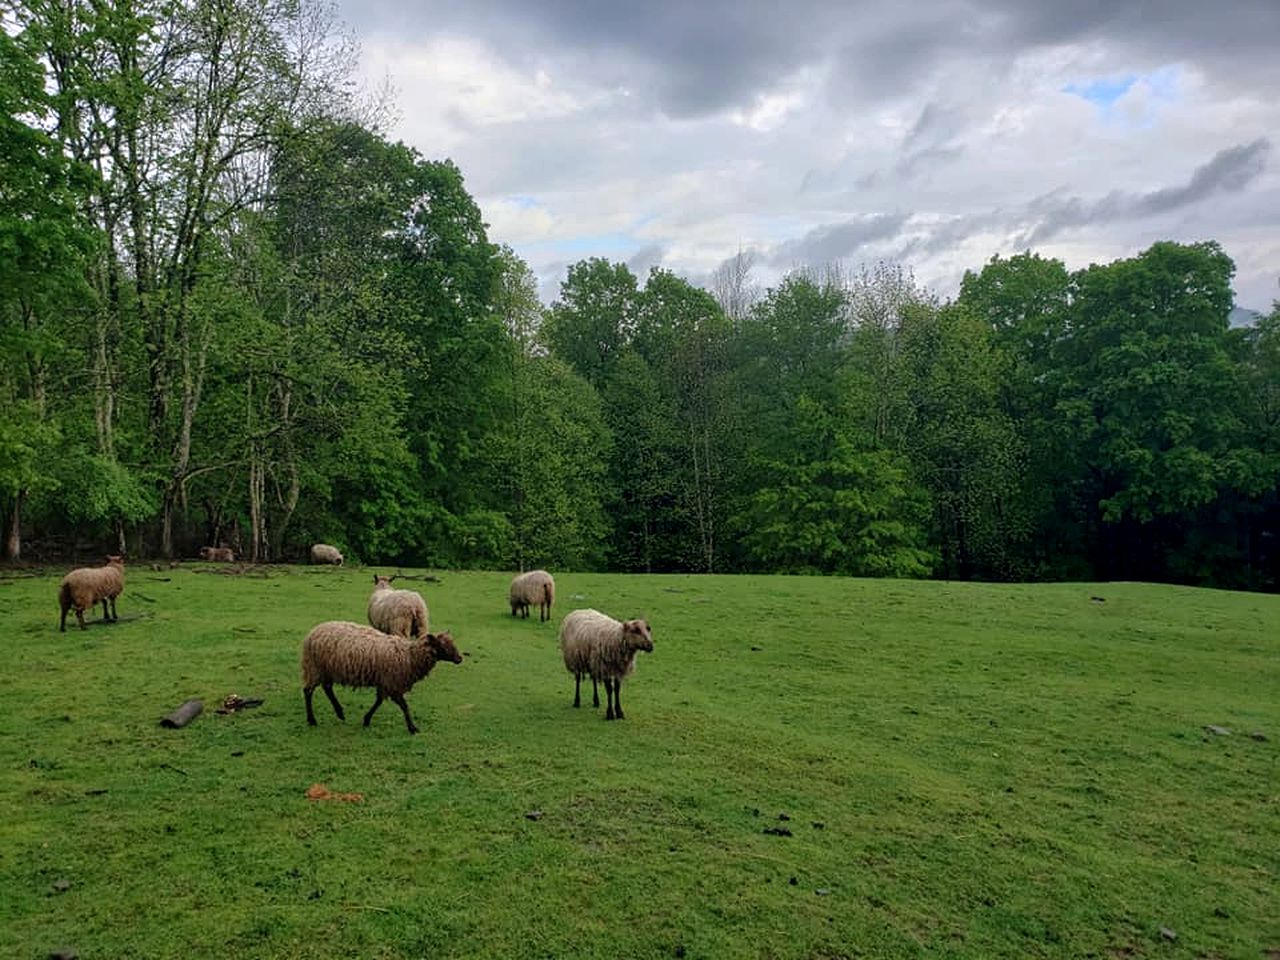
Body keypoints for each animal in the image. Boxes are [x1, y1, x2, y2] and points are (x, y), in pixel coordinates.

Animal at [302, 624, 463, 737]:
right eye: (443, 646)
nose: (460, 659)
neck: (410, 657)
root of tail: (312, 633)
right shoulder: (393, 683)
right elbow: (404, 706)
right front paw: (413, 728)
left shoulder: (385, 683)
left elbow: (379, 701)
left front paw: (366, 719)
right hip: (314, 668)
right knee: (308, 691)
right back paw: (312, 720)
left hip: (326, 669)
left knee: (327, 688)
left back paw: (339, 712)